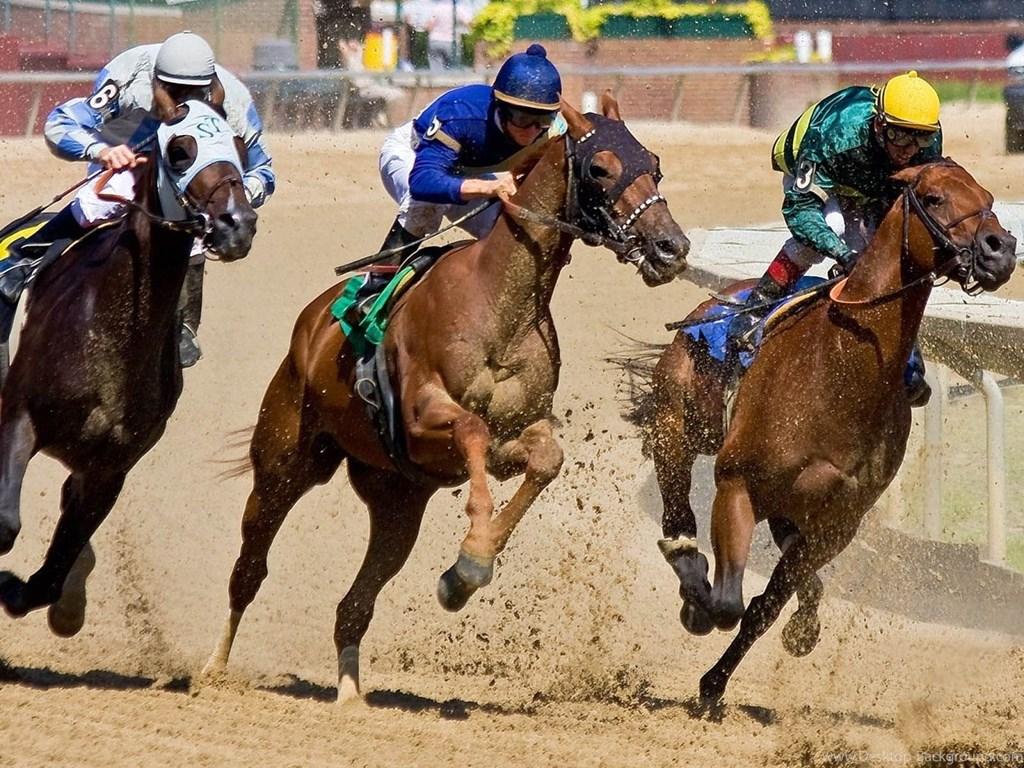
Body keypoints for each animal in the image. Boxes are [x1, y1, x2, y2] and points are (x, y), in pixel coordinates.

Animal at [0, 98, 257, 636]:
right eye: (180, 150)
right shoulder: (19, 415)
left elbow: (49, 578)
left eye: (240, 149)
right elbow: (5, 526)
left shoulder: (110, 468)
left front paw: (42, 598)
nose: (237, 223)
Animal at [201, 94, 691, 702]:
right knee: (248, 569)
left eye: (655, 164)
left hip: (397, 503)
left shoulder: (517, 435)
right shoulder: (420, 416)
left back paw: (349, 691)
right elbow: (472, 428)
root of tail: (311, 324)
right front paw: (474, 558)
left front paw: (464, 572)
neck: (501, 305)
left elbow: (545, 460)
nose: (671, 248)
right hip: (285, 464)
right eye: (600, 168)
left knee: (354, 604)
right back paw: (213, 668)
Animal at [624, 160, 1016, 705]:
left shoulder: (837, 522)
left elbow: (764, 607)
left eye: (988, 196)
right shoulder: (738, 485)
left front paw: (730, 673)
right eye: (935, 198)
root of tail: (713, 306)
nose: (1001, 249)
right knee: (677, 513)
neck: (838, 373)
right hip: (677, 427)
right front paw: (701, 610)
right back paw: (686, 569)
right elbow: (728, 603)